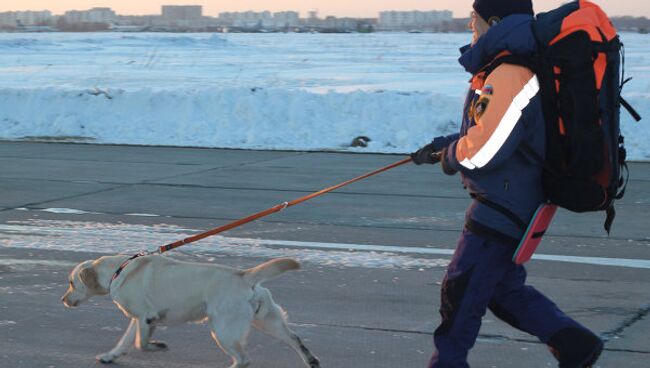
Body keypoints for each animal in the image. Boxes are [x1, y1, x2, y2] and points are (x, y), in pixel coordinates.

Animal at [62, 253, 320, 368]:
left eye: (72, 283)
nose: (63, 300)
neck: (118, 270)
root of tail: (245, 275)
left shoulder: (146, 317)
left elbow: (140, 344)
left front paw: (158, 346)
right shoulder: (139, 319)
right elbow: (126, 341)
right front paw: (110, 356)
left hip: (222, 329)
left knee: (244, 359)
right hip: (267, 320)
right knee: (294, 338)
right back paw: (311, 359)